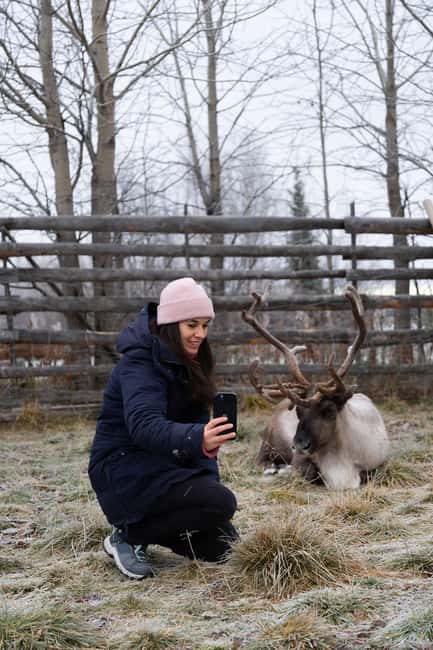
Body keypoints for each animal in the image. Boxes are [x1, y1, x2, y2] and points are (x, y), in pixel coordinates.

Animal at [242, 286, 390, 490]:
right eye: (297, 411)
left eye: (329, 410)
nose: (299, 445)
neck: (343, 468)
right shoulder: (299, 460)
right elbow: (309, 472)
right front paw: (287, 470)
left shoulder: (382, 463)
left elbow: (374, 474)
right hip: (269, 443)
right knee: (261, 460)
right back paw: (273, 468)